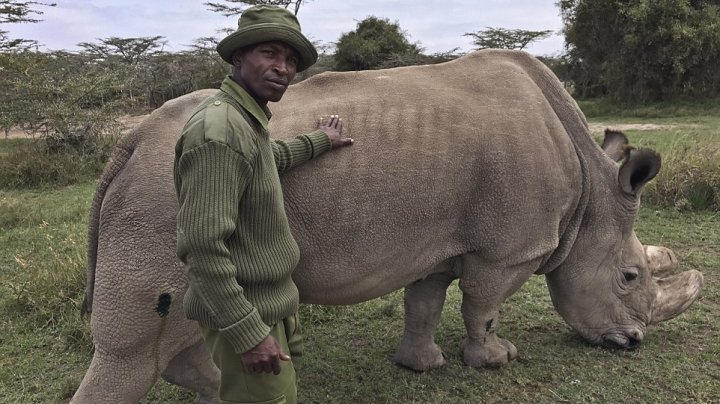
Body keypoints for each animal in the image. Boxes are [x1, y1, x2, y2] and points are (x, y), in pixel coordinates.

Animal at [71, 50, 704, 404]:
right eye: (629, 276)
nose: (633, 342)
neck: (592, 194)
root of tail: (129, 142)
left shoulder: (439, 241)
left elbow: (425, 301)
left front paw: (421, 365)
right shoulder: (509, 249)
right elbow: (483, 305)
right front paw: (496, 358)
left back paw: (215, 392)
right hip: (162, 201)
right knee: (133, 351)